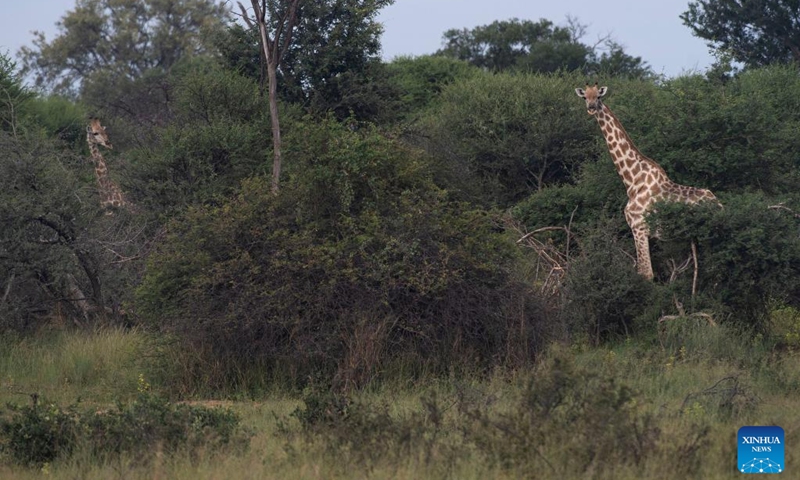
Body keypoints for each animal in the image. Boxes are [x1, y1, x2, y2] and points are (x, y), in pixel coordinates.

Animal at [575, 84, 719, 280]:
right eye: (585, 97)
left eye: (598, 96)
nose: (590, 108)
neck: (632, 180)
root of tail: (719, 205)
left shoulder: (639, 227)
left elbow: (646, 273)